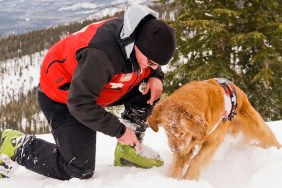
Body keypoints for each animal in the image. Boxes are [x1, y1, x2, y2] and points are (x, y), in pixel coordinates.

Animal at [148, 78, 280, 181]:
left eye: (182, 132)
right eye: (167, 132)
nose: (174, 149)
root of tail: (237, 89)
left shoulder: (213, 141)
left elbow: (196, 160)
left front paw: (188, 179)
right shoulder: (186, 146)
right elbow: (177, 166)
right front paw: (171, 180)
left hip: (256, 127)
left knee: (269, 137)